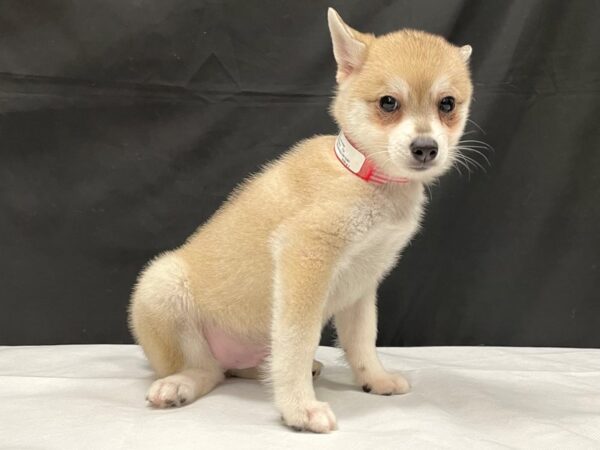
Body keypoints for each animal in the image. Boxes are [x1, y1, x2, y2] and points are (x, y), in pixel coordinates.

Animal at [129, 7, 472, 432]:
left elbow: (362, 339)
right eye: (389, 103)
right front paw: (299, 408)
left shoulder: (363, 284)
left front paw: (373, 379)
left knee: (240, 369)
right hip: (162, 284)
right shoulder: (304, 258)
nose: (426, 148)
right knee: (206, 370)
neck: (364, 177)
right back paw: (180, 385)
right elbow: (296, 341)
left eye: (447, 104)